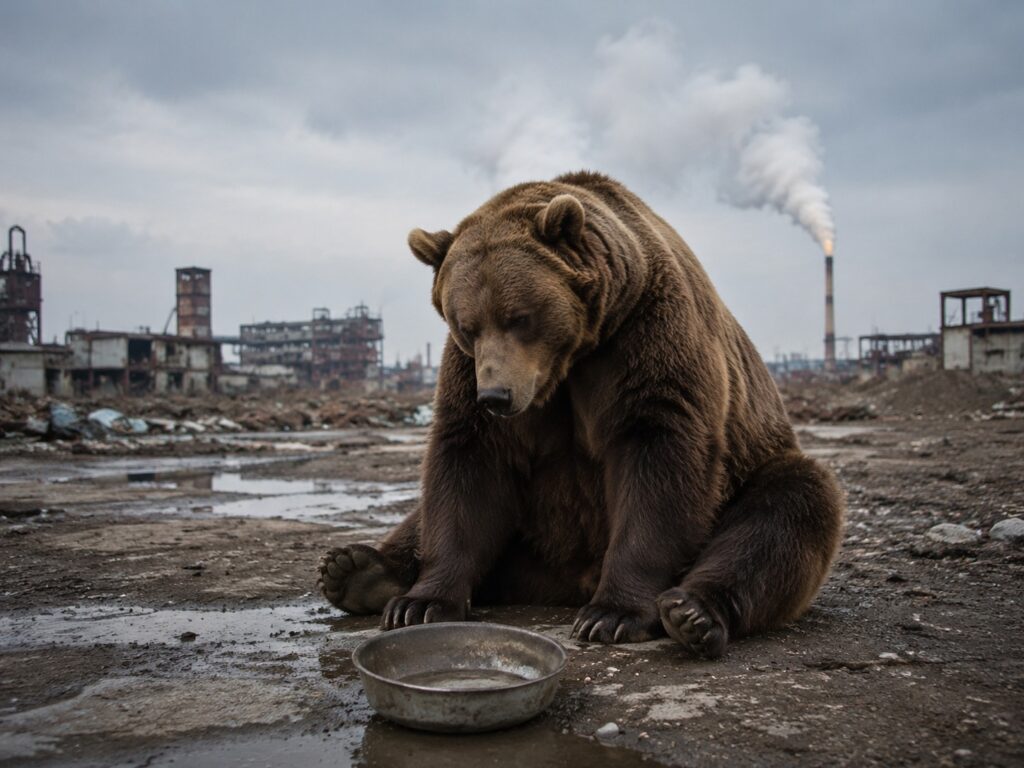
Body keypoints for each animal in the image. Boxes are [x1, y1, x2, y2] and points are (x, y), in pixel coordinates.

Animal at [318, 171, 844, 658]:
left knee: (789, 507)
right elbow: (465, 469)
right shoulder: (469, 378)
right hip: (529, 531)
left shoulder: (644, 338)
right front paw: (421, 603)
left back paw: (692, 611)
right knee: (422, 514)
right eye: (466, 324)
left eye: (519, 317)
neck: (571, 357)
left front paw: (613, 614)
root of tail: (563, 581)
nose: (496, 396)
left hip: (754, 465)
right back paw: (355, 570)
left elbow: (660, 456)